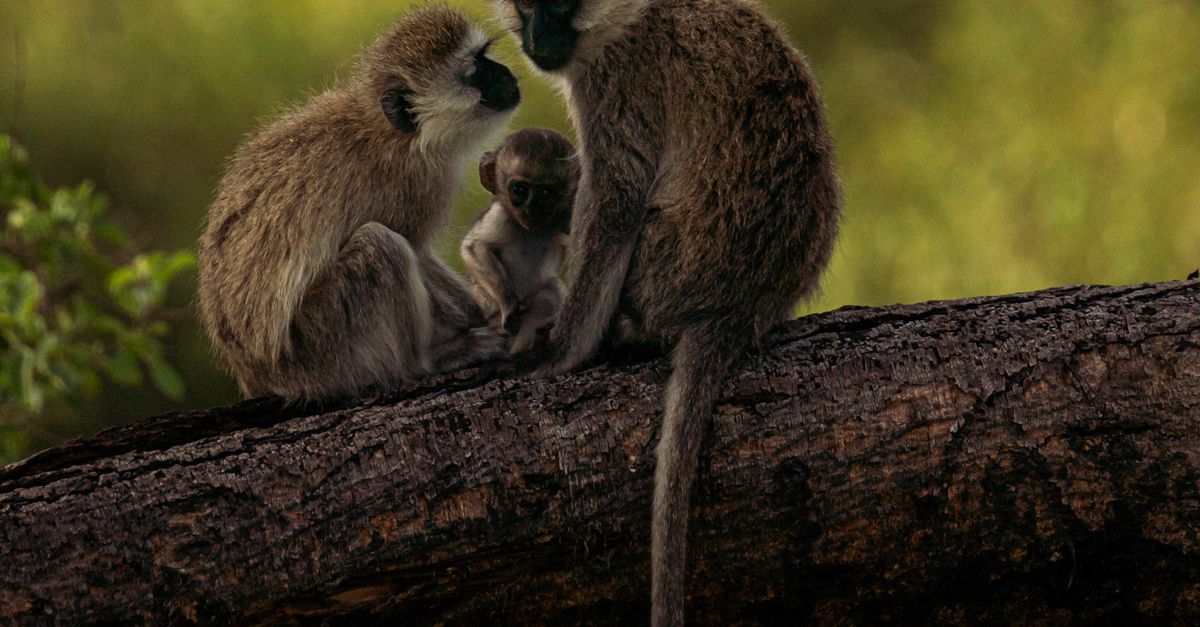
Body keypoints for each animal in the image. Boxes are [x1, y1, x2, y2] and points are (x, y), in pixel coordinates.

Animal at [198, 6, 522, 401]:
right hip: (325, 352)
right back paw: (427, 361)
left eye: (483, 56)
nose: (505, 73)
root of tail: (256, 375)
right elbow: (416, 250)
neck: (392, 134)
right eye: (472, 71)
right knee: (380, 245)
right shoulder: (414, 186)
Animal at [460, 128, 578, 354]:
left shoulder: (566, 216)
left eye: (546, 194)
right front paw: (509, 305)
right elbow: (475, 247)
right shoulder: (499, 215)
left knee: (549, 291)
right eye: (519, 190)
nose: (531, 208)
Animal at [495, 0, 842, 624]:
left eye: (560, 8)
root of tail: (739, 309)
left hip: (664, 272)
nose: (537, 41)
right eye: (528, 9)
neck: (636, 15)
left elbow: (617, 197)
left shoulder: (614, 80)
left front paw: (559, 352)